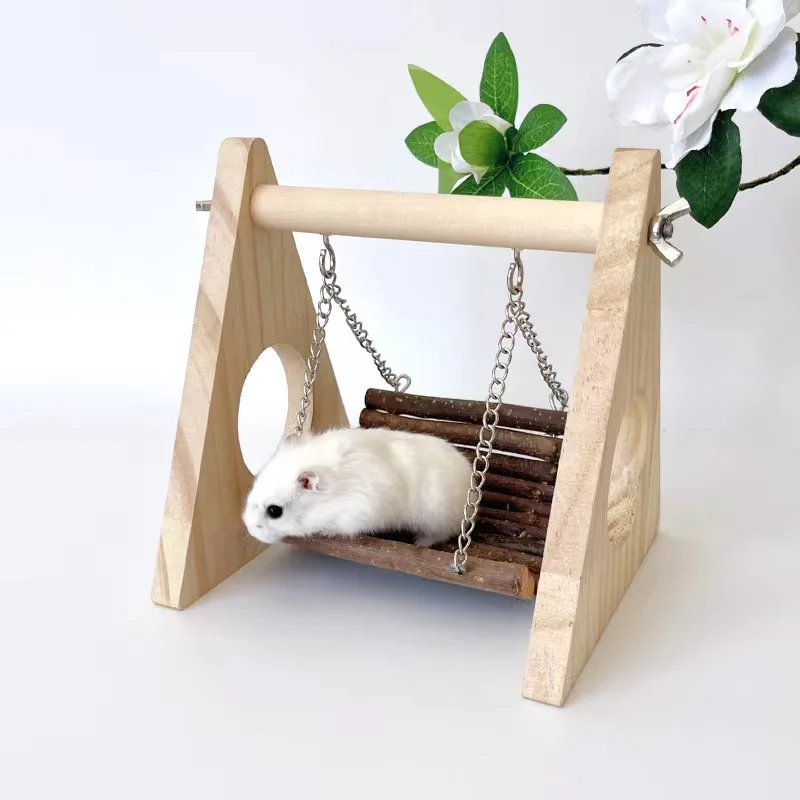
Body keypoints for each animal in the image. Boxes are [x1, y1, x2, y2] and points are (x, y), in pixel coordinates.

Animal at [242, 427, 472, 547]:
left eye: (275, 511)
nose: (250, 530)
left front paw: (325, 533)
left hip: (436, 518)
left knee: (439, 534)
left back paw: (419, 542)